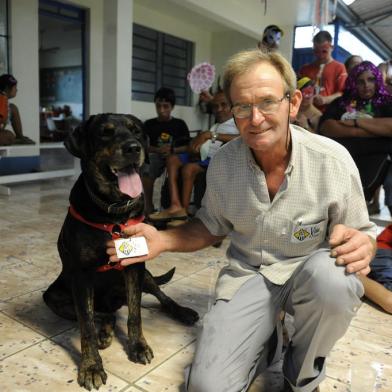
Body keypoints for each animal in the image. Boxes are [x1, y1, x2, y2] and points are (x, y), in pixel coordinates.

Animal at [42, 112, 199, 388]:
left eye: (136, 131)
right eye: (106, 132)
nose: (134, 148)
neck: (112, 213)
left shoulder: (136, 266)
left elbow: (135, 314)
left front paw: (138, 346)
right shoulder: (81, 276)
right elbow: (86, 325)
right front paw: (91, 366)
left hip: (145, 277)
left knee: (159, 298)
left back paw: (181, 312)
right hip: (55, 296)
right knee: (101, 314)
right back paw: (104, 330)